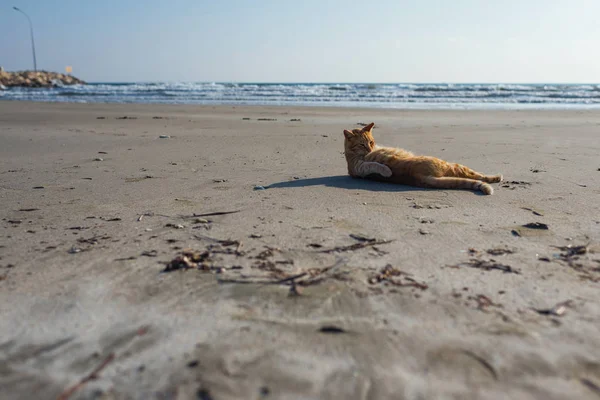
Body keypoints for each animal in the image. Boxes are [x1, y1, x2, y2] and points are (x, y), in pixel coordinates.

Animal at [342, 123, 502, 195]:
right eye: (362, 144)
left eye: (371, 142)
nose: (370, 149)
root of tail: (419, 176)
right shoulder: (359, 167)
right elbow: (374, 165)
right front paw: (386, 170)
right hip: (453, 165)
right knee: (477, 175)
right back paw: (496, 177)